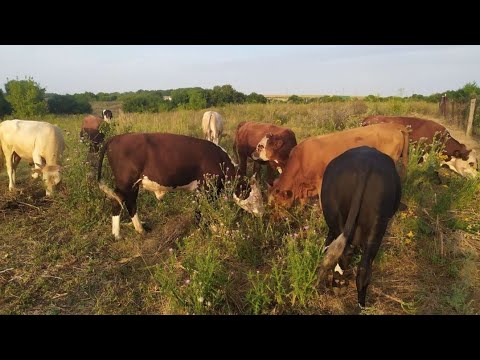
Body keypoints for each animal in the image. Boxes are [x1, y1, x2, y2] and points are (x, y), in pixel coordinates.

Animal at [96, 132, 264, 239]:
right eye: (254, 196)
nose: (262, 214)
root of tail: (118, 137)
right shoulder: (205, 190)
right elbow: (202, 211)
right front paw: (213, 228)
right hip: (125, 184)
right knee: (117, 202)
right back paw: (117, 234)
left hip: (133, 185)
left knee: (131, 203)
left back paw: (140, 229)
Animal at [316, 145, 404, 308]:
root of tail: (365, 166)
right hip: (377, 224)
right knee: (362, 265)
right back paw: (361, 304)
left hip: (338, 216)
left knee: (347, 255)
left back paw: (341, 287)